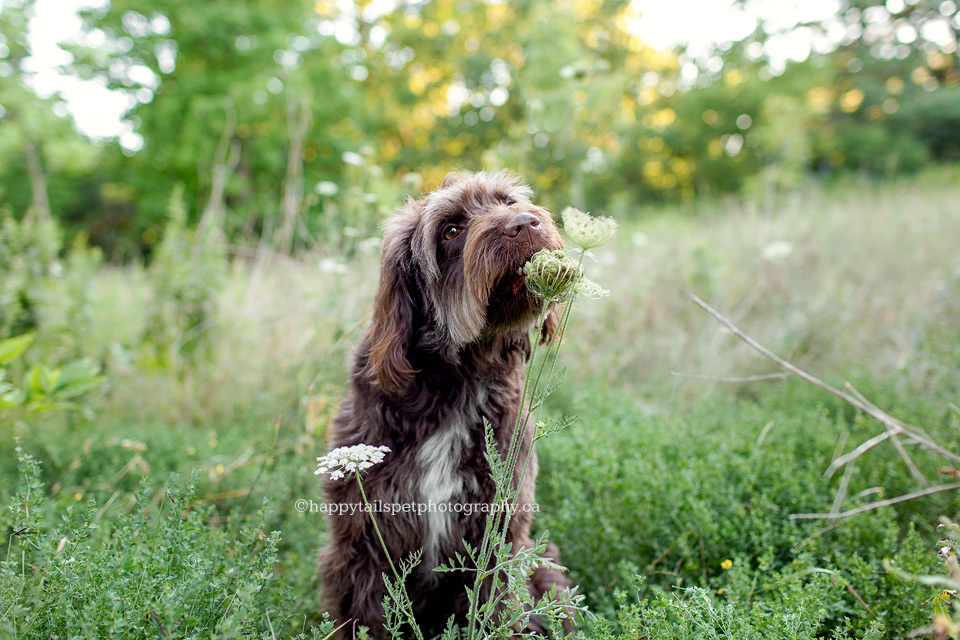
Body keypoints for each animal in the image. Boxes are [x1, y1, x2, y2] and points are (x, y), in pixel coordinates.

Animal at [318, 172, 572, 636]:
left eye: (508, 202)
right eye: (450, 231)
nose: (526, 223)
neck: (458, 382)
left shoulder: (500, 534)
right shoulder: (363, 545)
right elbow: (369, 617)